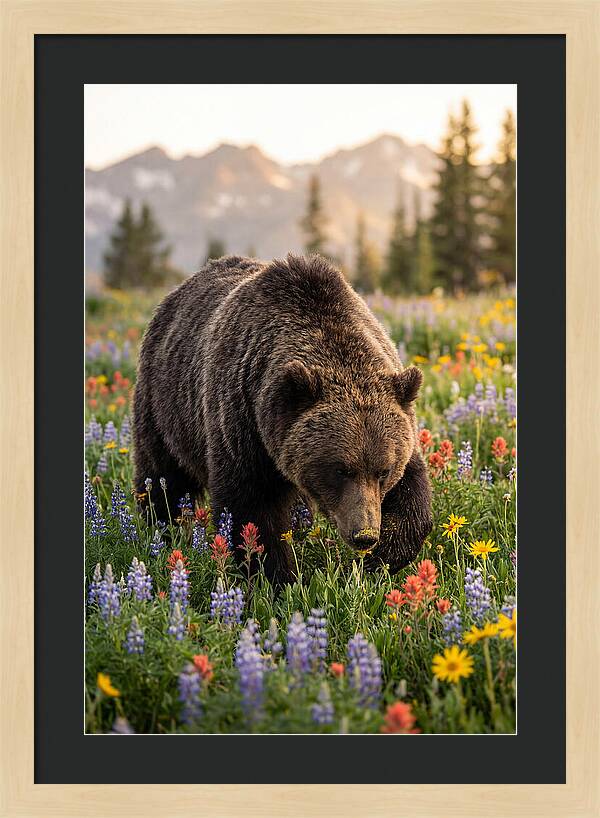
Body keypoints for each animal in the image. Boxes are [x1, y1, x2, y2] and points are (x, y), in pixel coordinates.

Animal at [133, 254, 432, 584]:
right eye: (340, 470)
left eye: (384, 470)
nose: (364, 534)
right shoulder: (243, 422)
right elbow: (252, 509)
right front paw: (276, 578)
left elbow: (413, 492)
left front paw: (383, 558)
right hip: (165, 406)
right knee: (162, 475)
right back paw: (160, 529)